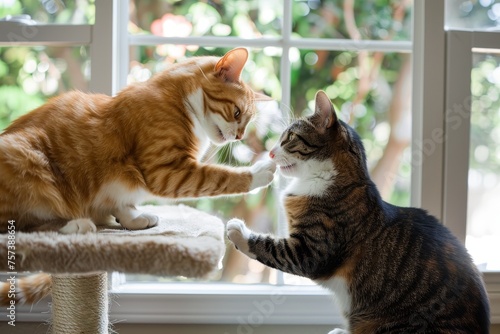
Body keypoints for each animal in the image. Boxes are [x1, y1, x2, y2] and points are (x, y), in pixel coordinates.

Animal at [0, 47, 276, 306]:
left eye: (247, 122)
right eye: (237, 113)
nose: (240, 137)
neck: (180, 101)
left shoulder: (125, 188)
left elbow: (121, 204)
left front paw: (133, 218)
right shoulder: (166, 171)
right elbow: (219, 177)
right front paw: (260, 173)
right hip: (28, 159)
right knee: (20, 228)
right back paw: (76, 226)